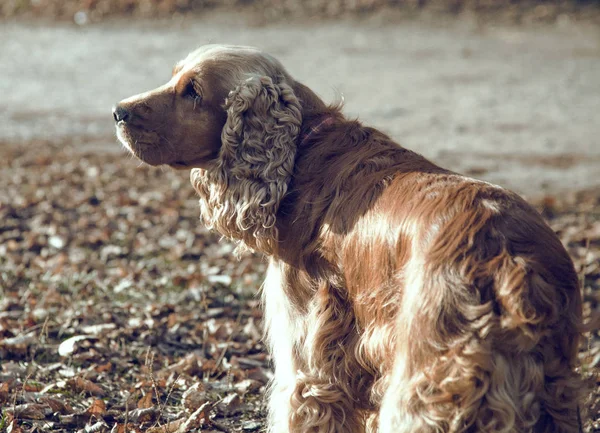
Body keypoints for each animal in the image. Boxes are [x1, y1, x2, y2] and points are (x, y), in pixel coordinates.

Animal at [115, 44, 584, 432]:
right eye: (173, 77)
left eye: (192, 91)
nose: (118, 111)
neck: (302, 152)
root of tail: (509, 259)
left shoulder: (307, 360)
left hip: (423, 387)